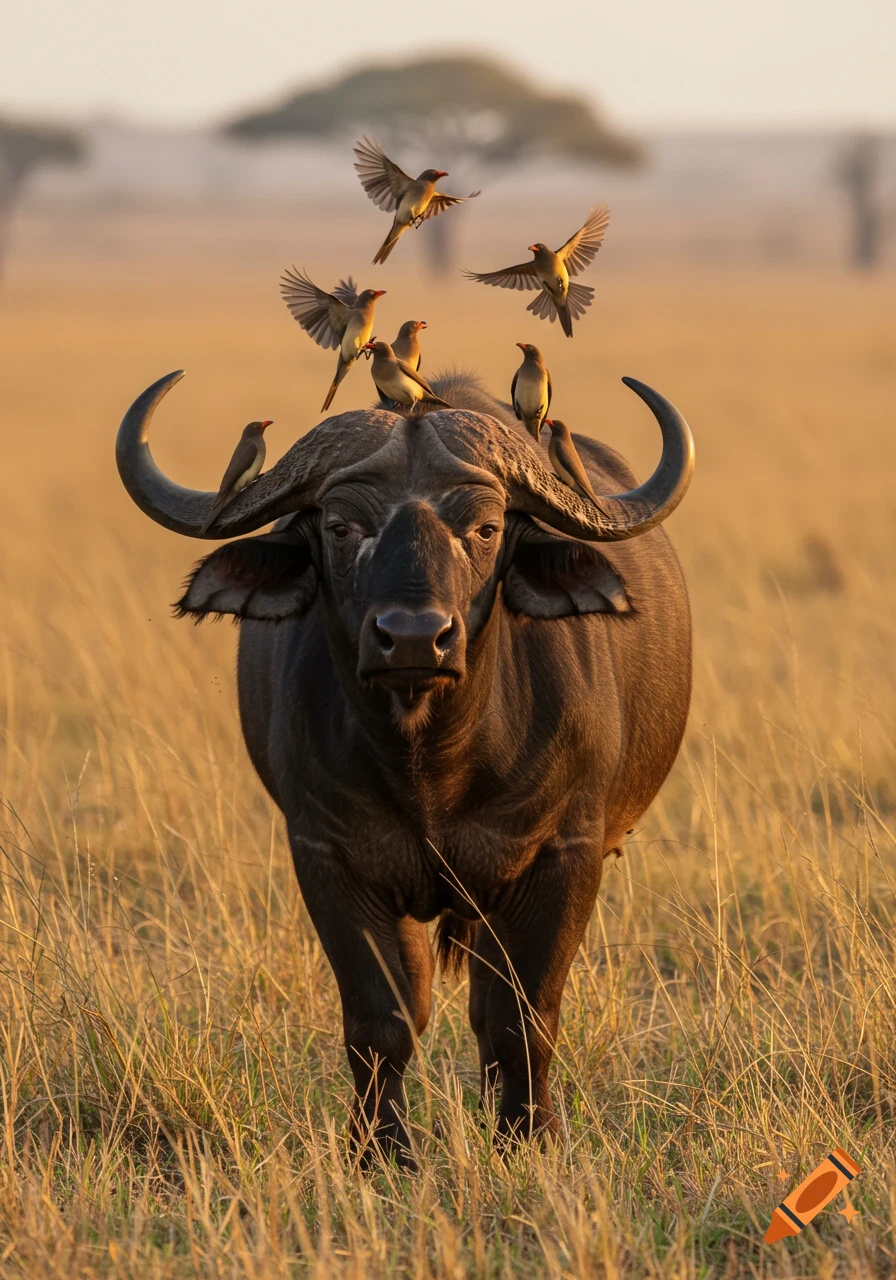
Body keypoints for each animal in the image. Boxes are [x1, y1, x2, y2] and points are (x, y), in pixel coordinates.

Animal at [116, 369, 694, 1164]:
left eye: (485, 528)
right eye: (340, 526)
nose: (415, 637)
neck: (433, 764)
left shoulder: (566, 854)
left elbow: (522, 1013)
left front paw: (529, 1137)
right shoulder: (328, 856)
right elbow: (383, 1017)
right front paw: (381, 1150)